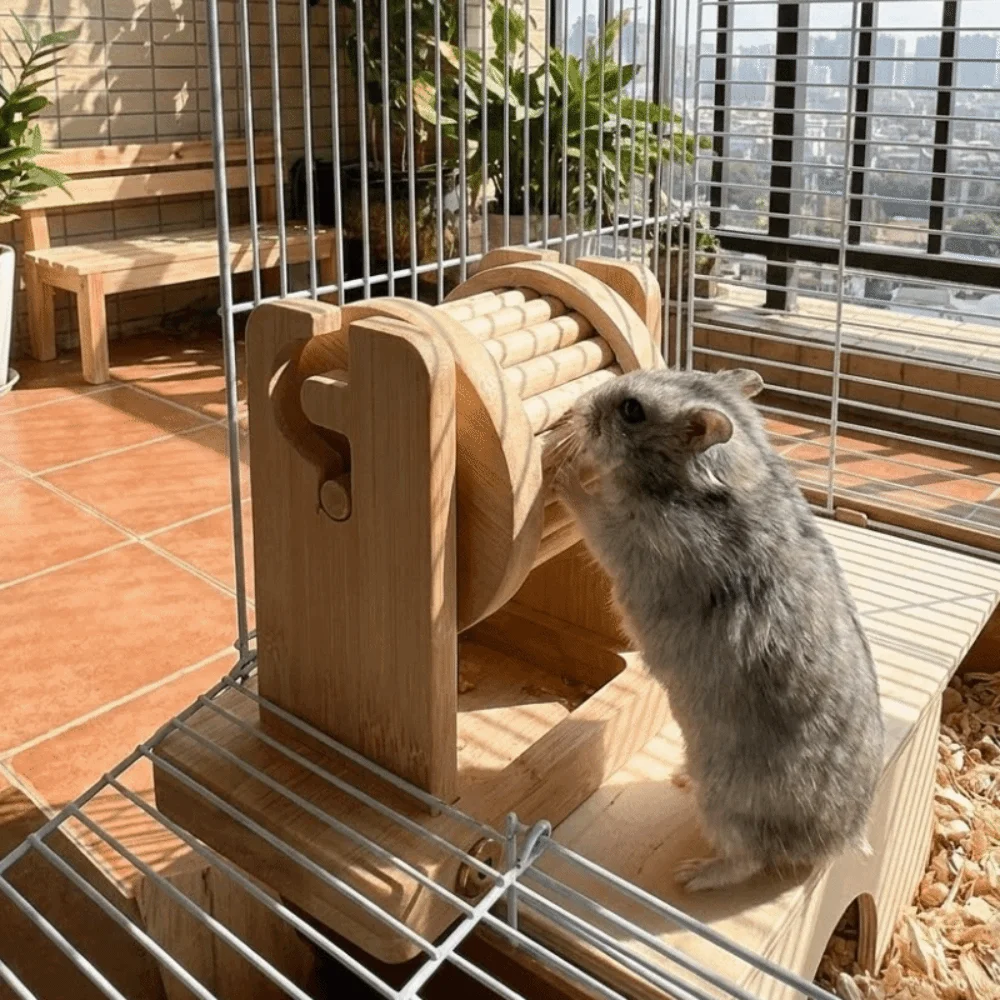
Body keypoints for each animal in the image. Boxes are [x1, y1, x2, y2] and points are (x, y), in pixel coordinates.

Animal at [553, 367, 884, 892]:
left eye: (631, 410)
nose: (575, 407)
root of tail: (842, 841)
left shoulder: (629, 534)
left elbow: (590, 509)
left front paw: (564, 469)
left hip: (728, 806)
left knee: (748, 860)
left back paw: (689, 876)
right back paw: (678, 778)